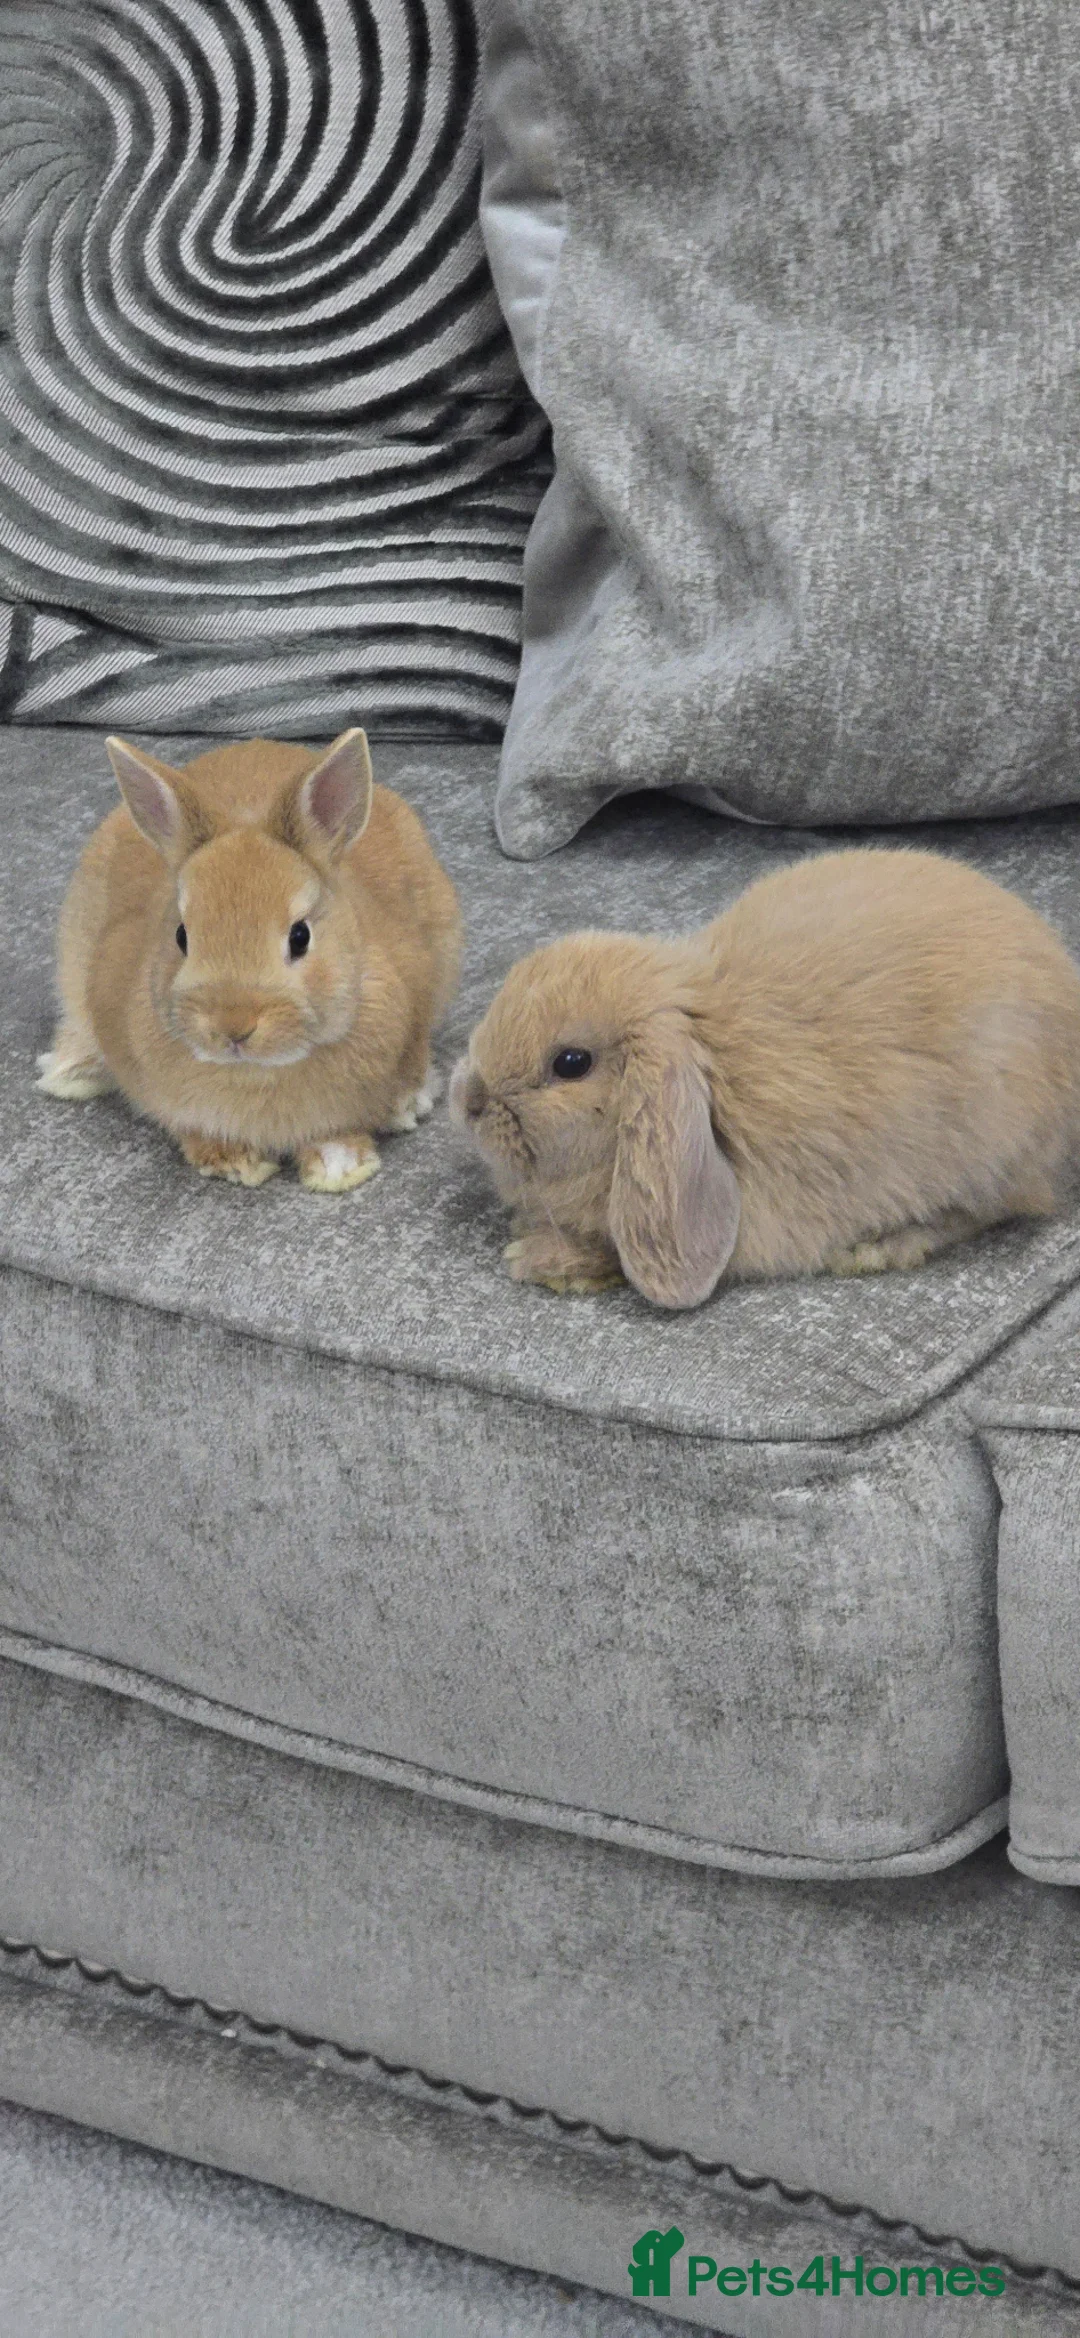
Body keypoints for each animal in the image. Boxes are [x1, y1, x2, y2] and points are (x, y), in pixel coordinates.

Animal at [38, 728, 462, 1191]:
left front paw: (340, 1167)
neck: (259, 1071)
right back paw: (69, 1072)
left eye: (300, 936)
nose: (233, 1027)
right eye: (181, 936)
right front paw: (235, 1163)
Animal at [449, 847, 1080, 1307]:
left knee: (985, 1211)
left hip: (992, 1146)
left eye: (571, 1063)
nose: (467, 1099)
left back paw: (877, 1247)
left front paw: (538, 1259)